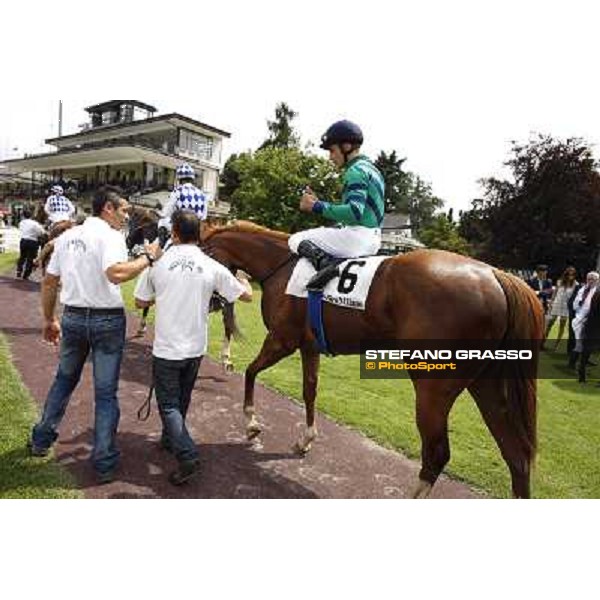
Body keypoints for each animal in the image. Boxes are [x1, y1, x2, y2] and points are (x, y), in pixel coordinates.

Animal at [204, 223, 548, 500]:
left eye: (201, 253)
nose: (211, 303)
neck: (279, 265)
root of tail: (496, 275)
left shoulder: (281, 340)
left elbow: (250, 372)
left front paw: (251, 424)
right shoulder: (308, 346)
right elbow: (309, 391)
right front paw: (305, 440)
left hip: (433, 386)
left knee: (437, 453)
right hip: (488, 385)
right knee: (516, 455)